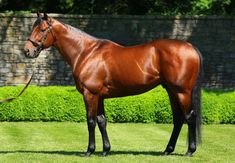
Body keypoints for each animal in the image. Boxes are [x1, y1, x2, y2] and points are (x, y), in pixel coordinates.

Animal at [24, 13, 204, 157]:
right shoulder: (99, 96)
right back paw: (167, 150)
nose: (27, 51)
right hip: (171, 91)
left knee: (190, 117)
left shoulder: (90, 94)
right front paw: (105, 150)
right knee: (178, 119)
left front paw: (89, 151)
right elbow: (101, 121)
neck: (86, 52)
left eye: (42, 30)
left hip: (182, 92)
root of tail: (191, 47)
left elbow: (91, 121)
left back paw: (190, 151)